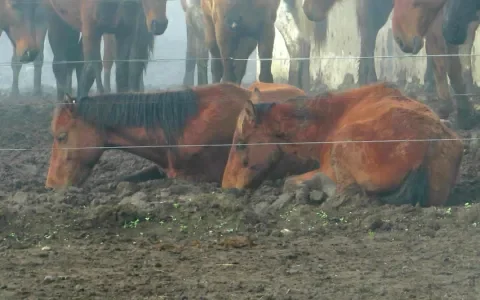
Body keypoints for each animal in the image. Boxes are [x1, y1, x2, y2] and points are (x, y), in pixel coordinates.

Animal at [223, 83, 464, 207]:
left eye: (241, 144)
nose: (226, 186)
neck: (329, 118)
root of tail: (428, 145)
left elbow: (289, 181)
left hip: (344, 145)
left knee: (346, 194)